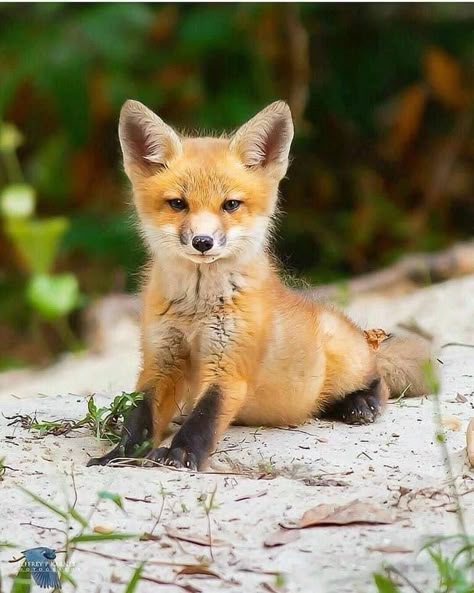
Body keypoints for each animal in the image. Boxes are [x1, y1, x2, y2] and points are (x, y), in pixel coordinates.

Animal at [87, 100, 436, 472]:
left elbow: (203, 419)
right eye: (178, 204)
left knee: (377, 378)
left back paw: (360, 402)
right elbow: (139, 416)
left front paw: (180, 454)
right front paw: (119, 455)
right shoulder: (160, 360)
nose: (203, 242)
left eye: (231, 204)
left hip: (345, 360)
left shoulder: (229, 367)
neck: (197, 309)